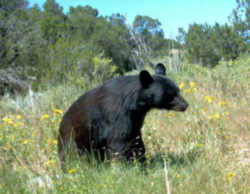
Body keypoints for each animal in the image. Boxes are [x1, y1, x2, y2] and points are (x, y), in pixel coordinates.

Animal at [58, 63, 188, 167]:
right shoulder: (117, 114)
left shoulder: (135, 118)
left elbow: (135, 138)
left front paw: (141, 161)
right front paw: (124, 167)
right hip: (73, 136)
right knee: (73, 153)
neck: (134, 103)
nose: (185, 105)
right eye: (170, 95)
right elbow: (119, 139)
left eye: (177, 90)